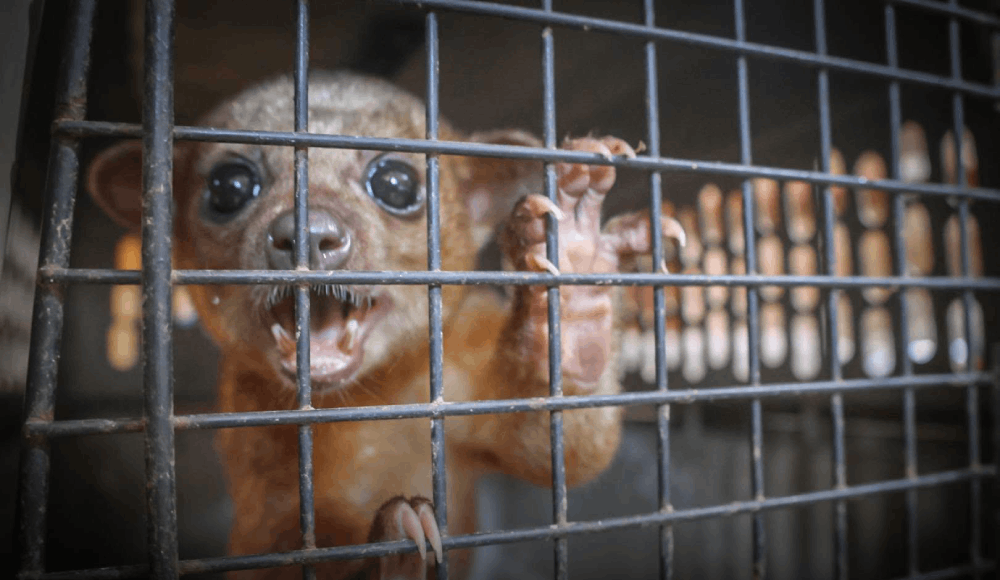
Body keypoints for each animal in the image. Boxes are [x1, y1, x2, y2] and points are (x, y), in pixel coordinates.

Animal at [86, 71, 685, 579]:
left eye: (396, 183)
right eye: (229, 187)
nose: (306, 233)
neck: (377, 395)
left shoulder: (465, 352)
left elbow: (562, 447)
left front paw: (575, 270)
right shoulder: (250, 417)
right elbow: (278, 541)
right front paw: (391, 544)